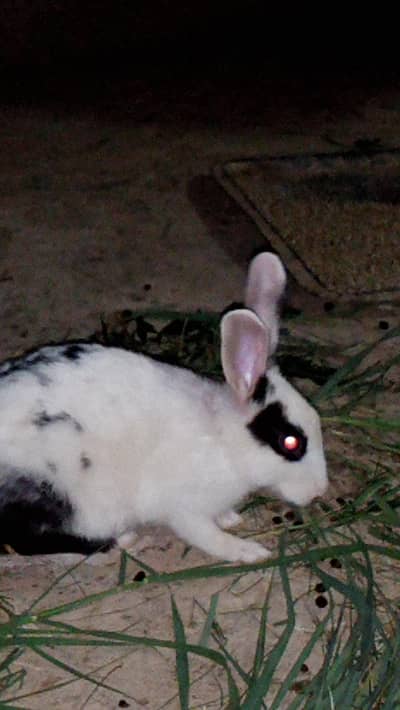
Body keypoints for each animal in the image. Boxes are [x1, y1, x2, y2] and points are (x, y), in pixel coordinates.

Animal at [0, 253, 328, 561]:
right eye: (290, 442)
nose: (319, 490)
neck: (224, 442)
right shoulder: (185, 508)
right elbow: (208, 537)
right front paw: (248, 551)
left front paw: (231, 518)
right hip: (58, 494)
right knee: (27, 540)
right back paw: (120, 541)